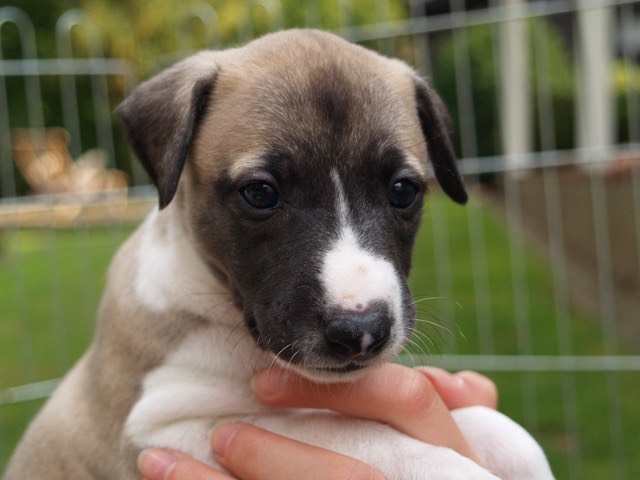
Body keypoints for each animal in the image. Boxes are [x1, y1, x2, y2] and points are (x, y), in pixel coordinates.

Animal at [5, 30, 552, 480]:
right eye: (261, 193)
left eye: (403, 191)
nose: (360, 331)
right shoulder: (163, 426)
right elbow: (350, 432)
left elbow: (501, 429)